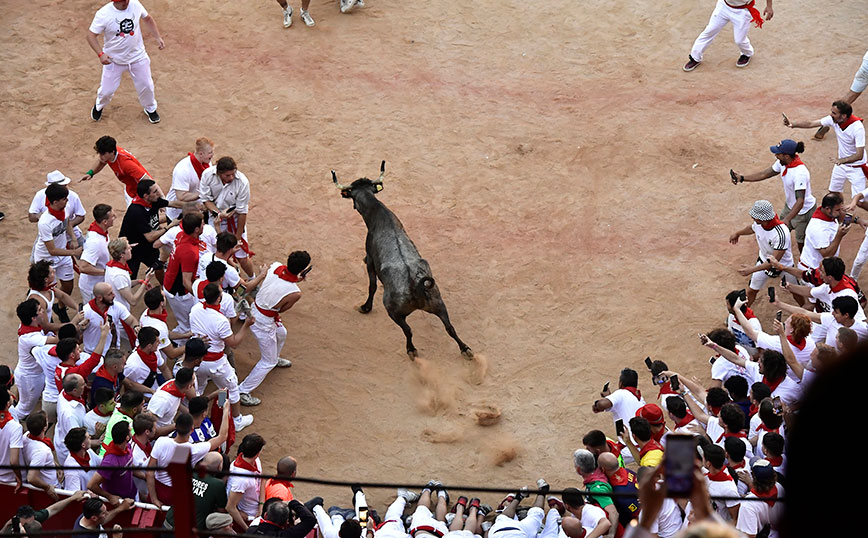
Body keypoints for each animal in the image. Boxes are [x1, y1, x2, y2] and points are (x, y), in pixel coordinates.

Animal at [332, 161, 472, 358]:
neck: (377, 213)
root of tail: (416, 285)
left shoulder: (370, 260)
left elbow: (372, 286)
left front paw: (365, 307)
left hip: (394, 312)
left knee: (408, 330)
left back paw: (411, 349)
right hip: (438, 303)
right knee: (449, 327)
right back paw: (465, 348)